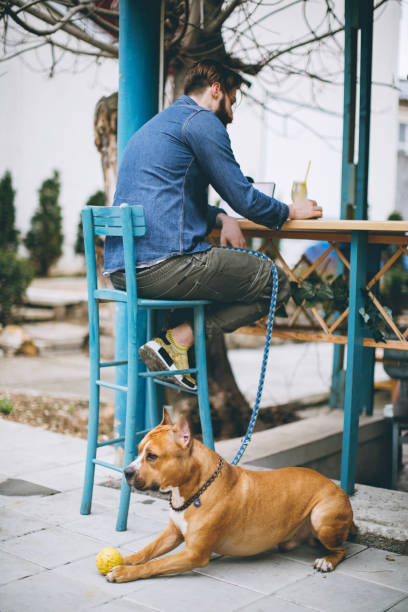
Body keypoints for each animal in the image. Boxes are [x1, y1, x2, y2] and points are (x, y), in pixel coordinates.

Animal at [107, 408, 356, 580]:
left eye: (152, 456)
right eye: (139, 450)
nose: (126, 471)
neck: (195, 491)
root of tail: (338, 488)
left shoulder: (194, 554)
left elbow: (155, 564)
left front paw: (124, 573)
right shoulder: (172, 534)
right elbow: (146, 551)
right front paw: (124, 560)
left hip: (322, 517)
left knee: (342, 549)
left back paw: (327, 561)